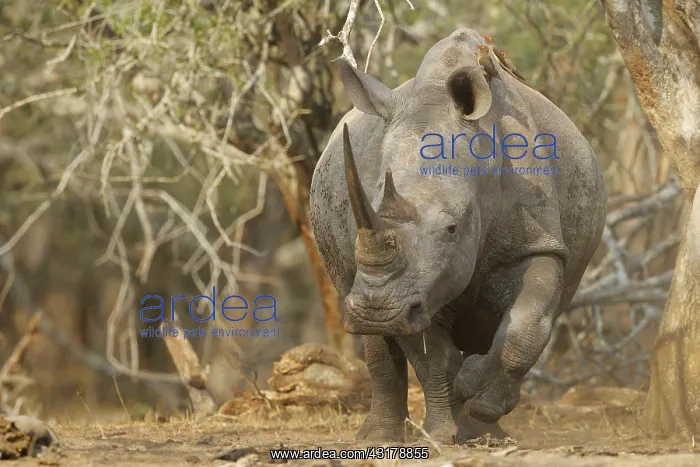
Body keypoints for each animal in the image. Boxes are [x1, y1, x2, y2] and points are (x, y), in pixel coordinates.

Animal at [309, 28, 606, 444]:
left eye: (452, 228)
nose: (378, 311)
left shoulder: (536, 243)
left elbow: (528, 322)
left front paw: (477, 400)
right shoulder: (408, 287)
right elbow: (431, 354)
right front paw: (443, 433)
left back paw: (487, 431)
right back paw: (381, 438)